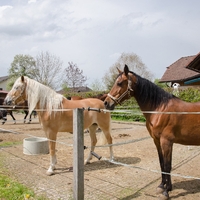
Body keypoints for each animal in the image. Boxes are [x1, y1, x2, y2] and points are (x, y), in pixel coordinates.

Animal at [104, 65, 200, 199]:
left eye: (119, 83)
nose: (106, 103)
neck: (160, 109)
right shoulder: (157, 141)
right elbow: (162, 164)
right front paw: (162, 186)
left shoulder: (167, 142)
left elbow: (167, 165)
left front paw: (166, 191)